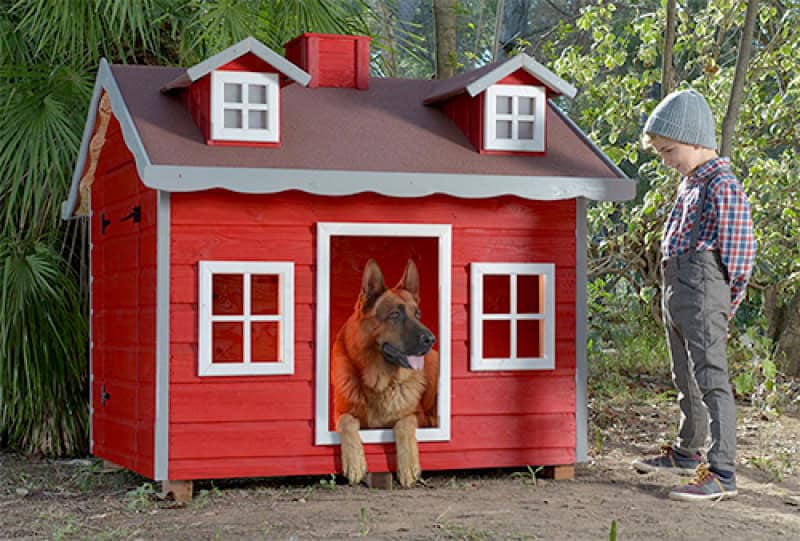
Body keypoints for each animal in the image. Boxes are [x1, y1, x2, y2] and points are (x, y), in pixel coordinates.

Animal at [332, 258, 440, 486]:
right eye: (395, 315)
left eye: (417, 314)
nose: (431, 339)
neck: (380, 384)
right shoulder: (338, 414)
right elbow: (347, 421)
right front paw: (354, 462)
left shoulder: (415, 415)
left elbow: (404, 423)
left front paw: (408, 465)